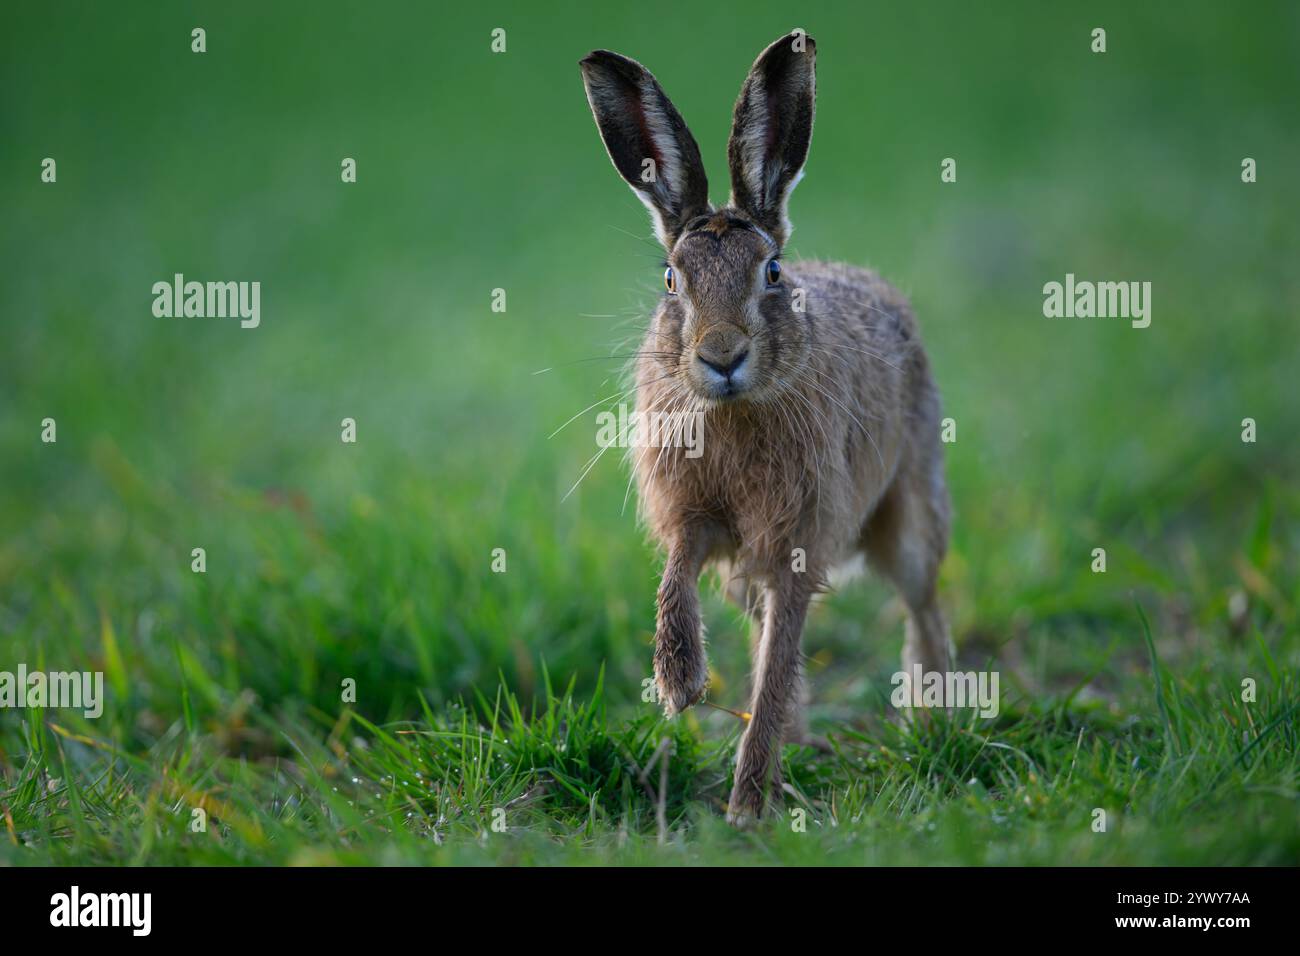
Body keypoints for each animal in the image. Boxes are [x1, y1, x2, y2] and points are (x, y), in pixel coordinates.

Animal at [579, 31, 952, 825]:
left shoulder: (797, 545)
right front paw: (680, 682)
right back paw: (802, 747)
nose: (722, 356)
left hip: (910, 511)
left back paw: (934, 723)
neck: (733, 411)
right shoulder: (695, 515)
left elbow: (779, 662)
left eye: (772, 272)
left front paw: (747, 809)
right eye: (671, 281)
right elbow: (678, 576)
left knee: (921, 603)